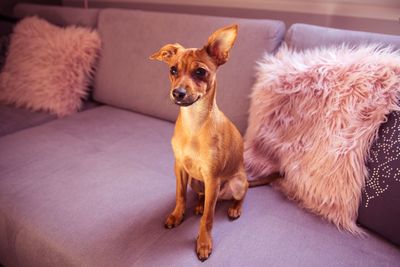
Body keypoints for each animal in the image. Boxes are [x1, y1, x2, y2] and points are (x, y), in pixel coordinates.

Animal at [150, 24, 278, 262]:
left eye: (200, 72)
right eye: (173, 70)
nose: (178, 93)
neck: (194, 122)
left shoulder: (212, 177)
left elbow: (208, 219)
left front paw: (203, 243)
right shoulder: (180, 168)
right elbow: (180, 196)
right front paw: (177, 215)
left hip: (235, 184)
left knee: (242, 194)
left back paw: (235, 208)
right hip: (196, 181)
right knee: (201, 196)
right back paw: (199, 204)